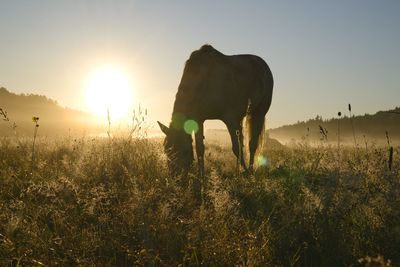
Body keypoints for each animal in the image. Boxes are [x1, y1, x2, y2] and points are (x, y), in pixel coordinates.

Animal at [158, 44, 274, 180]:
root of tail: (264, 66)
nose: (176, 178)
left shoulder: (230, 118)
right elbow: (200, 149)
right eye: (166, 150)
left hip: (259, 112)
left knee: (252, 144)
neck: (202, 80)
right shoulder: (199, 119)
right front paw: (201, 177)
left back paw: (249, 171)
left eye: (183, 150)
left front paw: (245, 173)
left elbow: (236, 148)